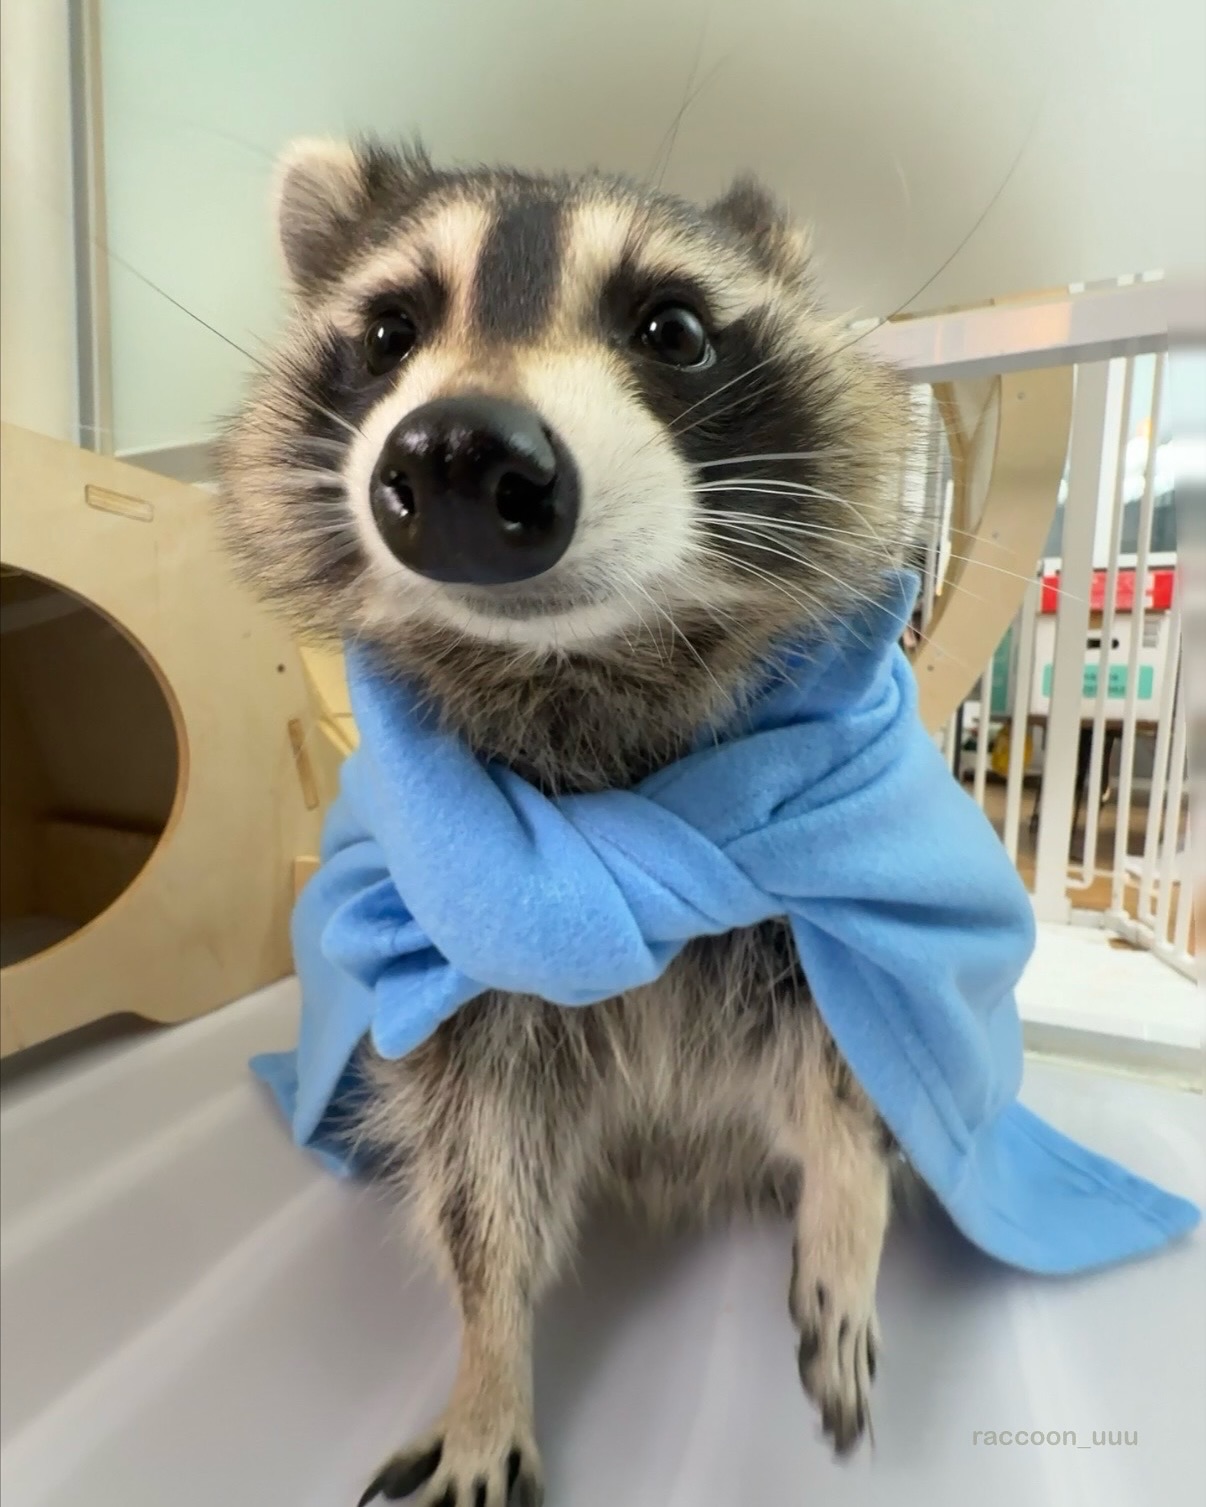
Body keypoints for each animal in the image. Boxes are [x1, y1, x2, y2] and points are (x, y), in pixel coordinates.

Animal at [217, 138, 914, 1506]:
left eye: (675, 328)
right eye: (390, 330)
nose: (458, 454)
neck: (579, 668)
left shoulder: (838, 886)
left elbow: (855, 1061)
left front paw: (847, 1217)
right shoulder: (454, 951)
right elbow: (477, 1173)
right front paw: (490, 1362)